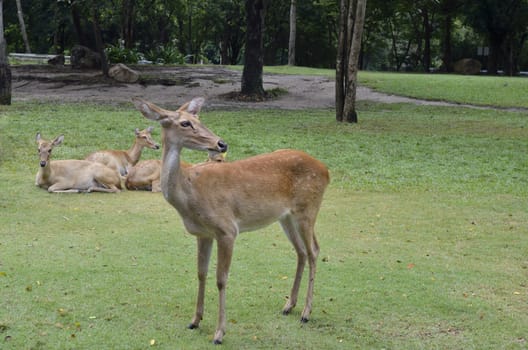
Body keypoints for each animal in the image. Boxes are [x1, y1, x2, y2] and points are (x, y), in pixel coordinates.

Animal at [132, 96, 330, 344]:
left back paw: (306, 312)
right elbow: (201, 273)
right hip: (286, 217)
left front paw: (219, 333)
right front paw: (195, 321)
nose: (221, 144)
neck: (189, 195)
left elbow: (221, 279)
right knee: (301, 251)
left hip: (308, 209)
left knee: (314, 250)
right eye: (186, 123)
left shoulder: (227, 229)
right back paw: (288, 306)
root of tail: (327, 172)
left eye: (200, 119)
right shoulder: (203, 234)